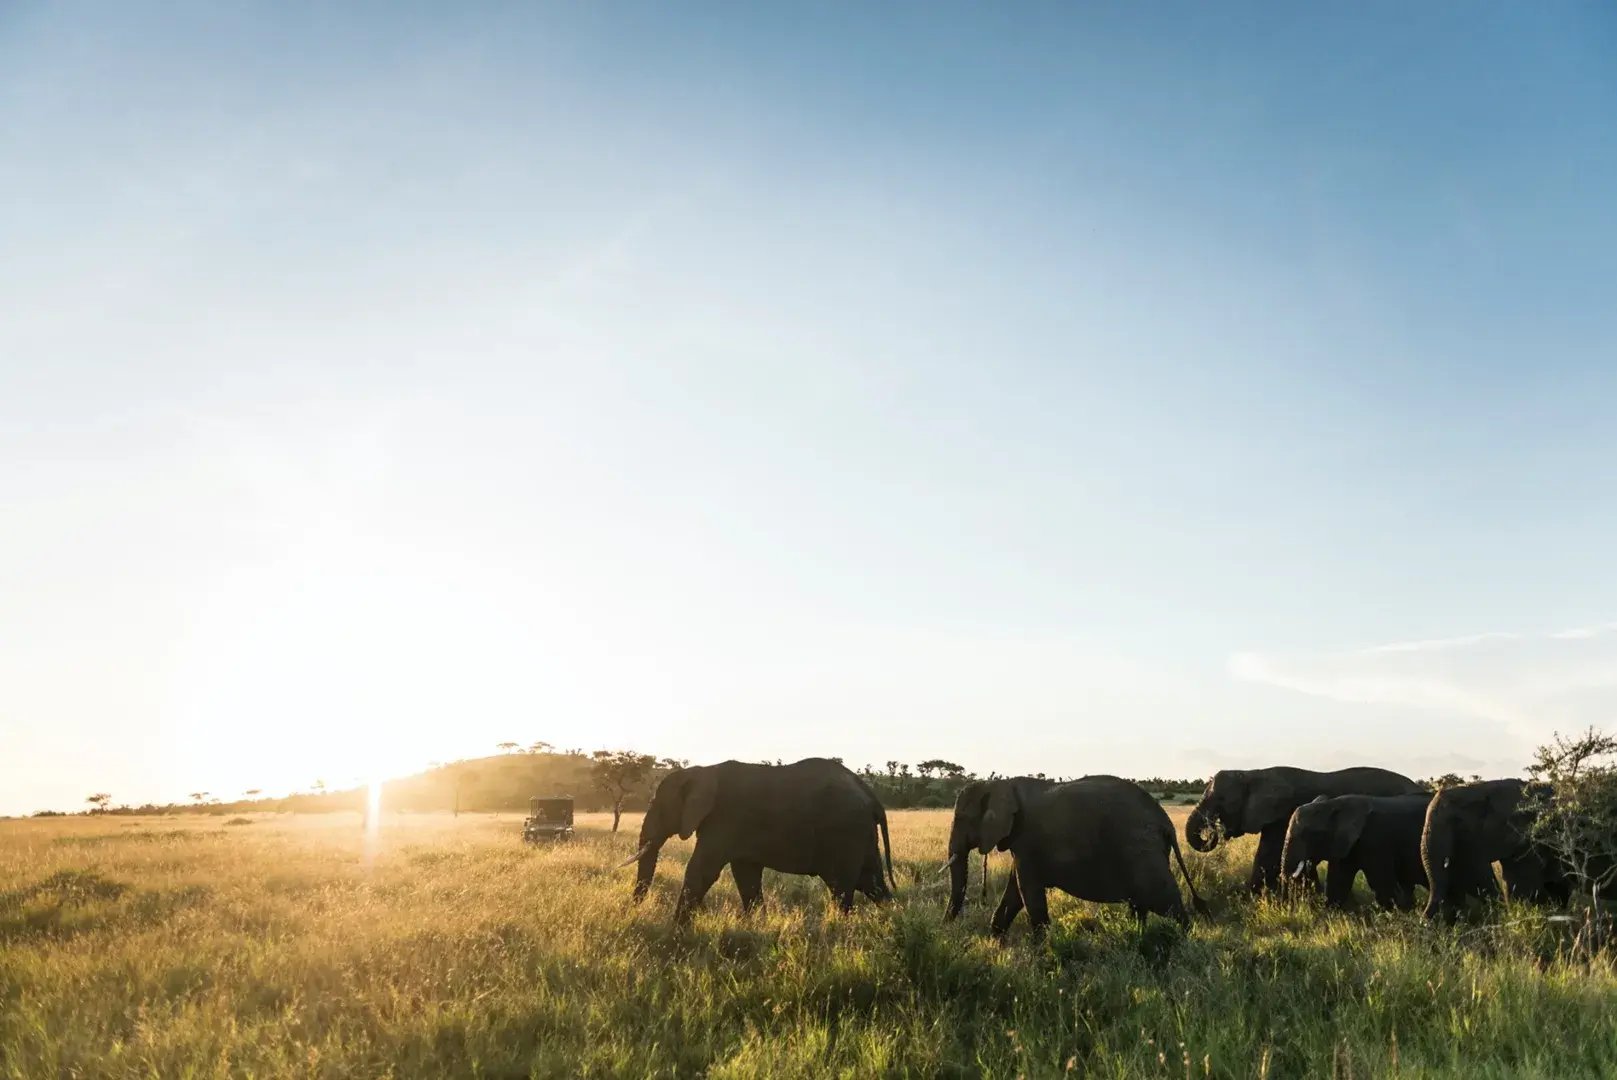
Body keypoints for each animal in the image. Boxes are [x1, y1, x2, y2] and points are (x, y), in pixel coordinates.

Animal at [620, 759, 899, 918]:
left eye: (658, 807)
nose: (633, 910)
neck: (702, 771)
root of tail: (871, 796)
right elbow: (746, 875)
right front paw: (757, 925)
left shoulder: (724, 819)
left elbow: (701, 871)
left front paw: (675, 931)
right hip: (861, 834)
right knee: (872, 881)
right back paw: (893, 920)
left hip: (845, 832)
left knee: (842, 886)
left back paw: (838, 927)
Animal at [944, 776, 1209, 937]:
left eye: (963, 819)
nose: (944, 929)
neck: (1000, 783)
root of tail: (1166, 823)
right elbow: (1015, 892)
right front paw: (997, 944)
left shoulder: (1027, 840)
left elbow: (1027, 891)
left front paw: (1042, 952)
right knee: (1141, 904)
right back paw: (1137, 938)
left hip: (1142, 849)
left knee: (1164, 900)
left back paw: (1185, 943)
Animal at [1183, 759, 1422, 892]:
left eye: (1221, 799)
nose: (1211, 831)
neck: (1253, 773)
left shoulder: (1281, 815)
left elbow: (1268, 855)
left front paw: (1252, 897)